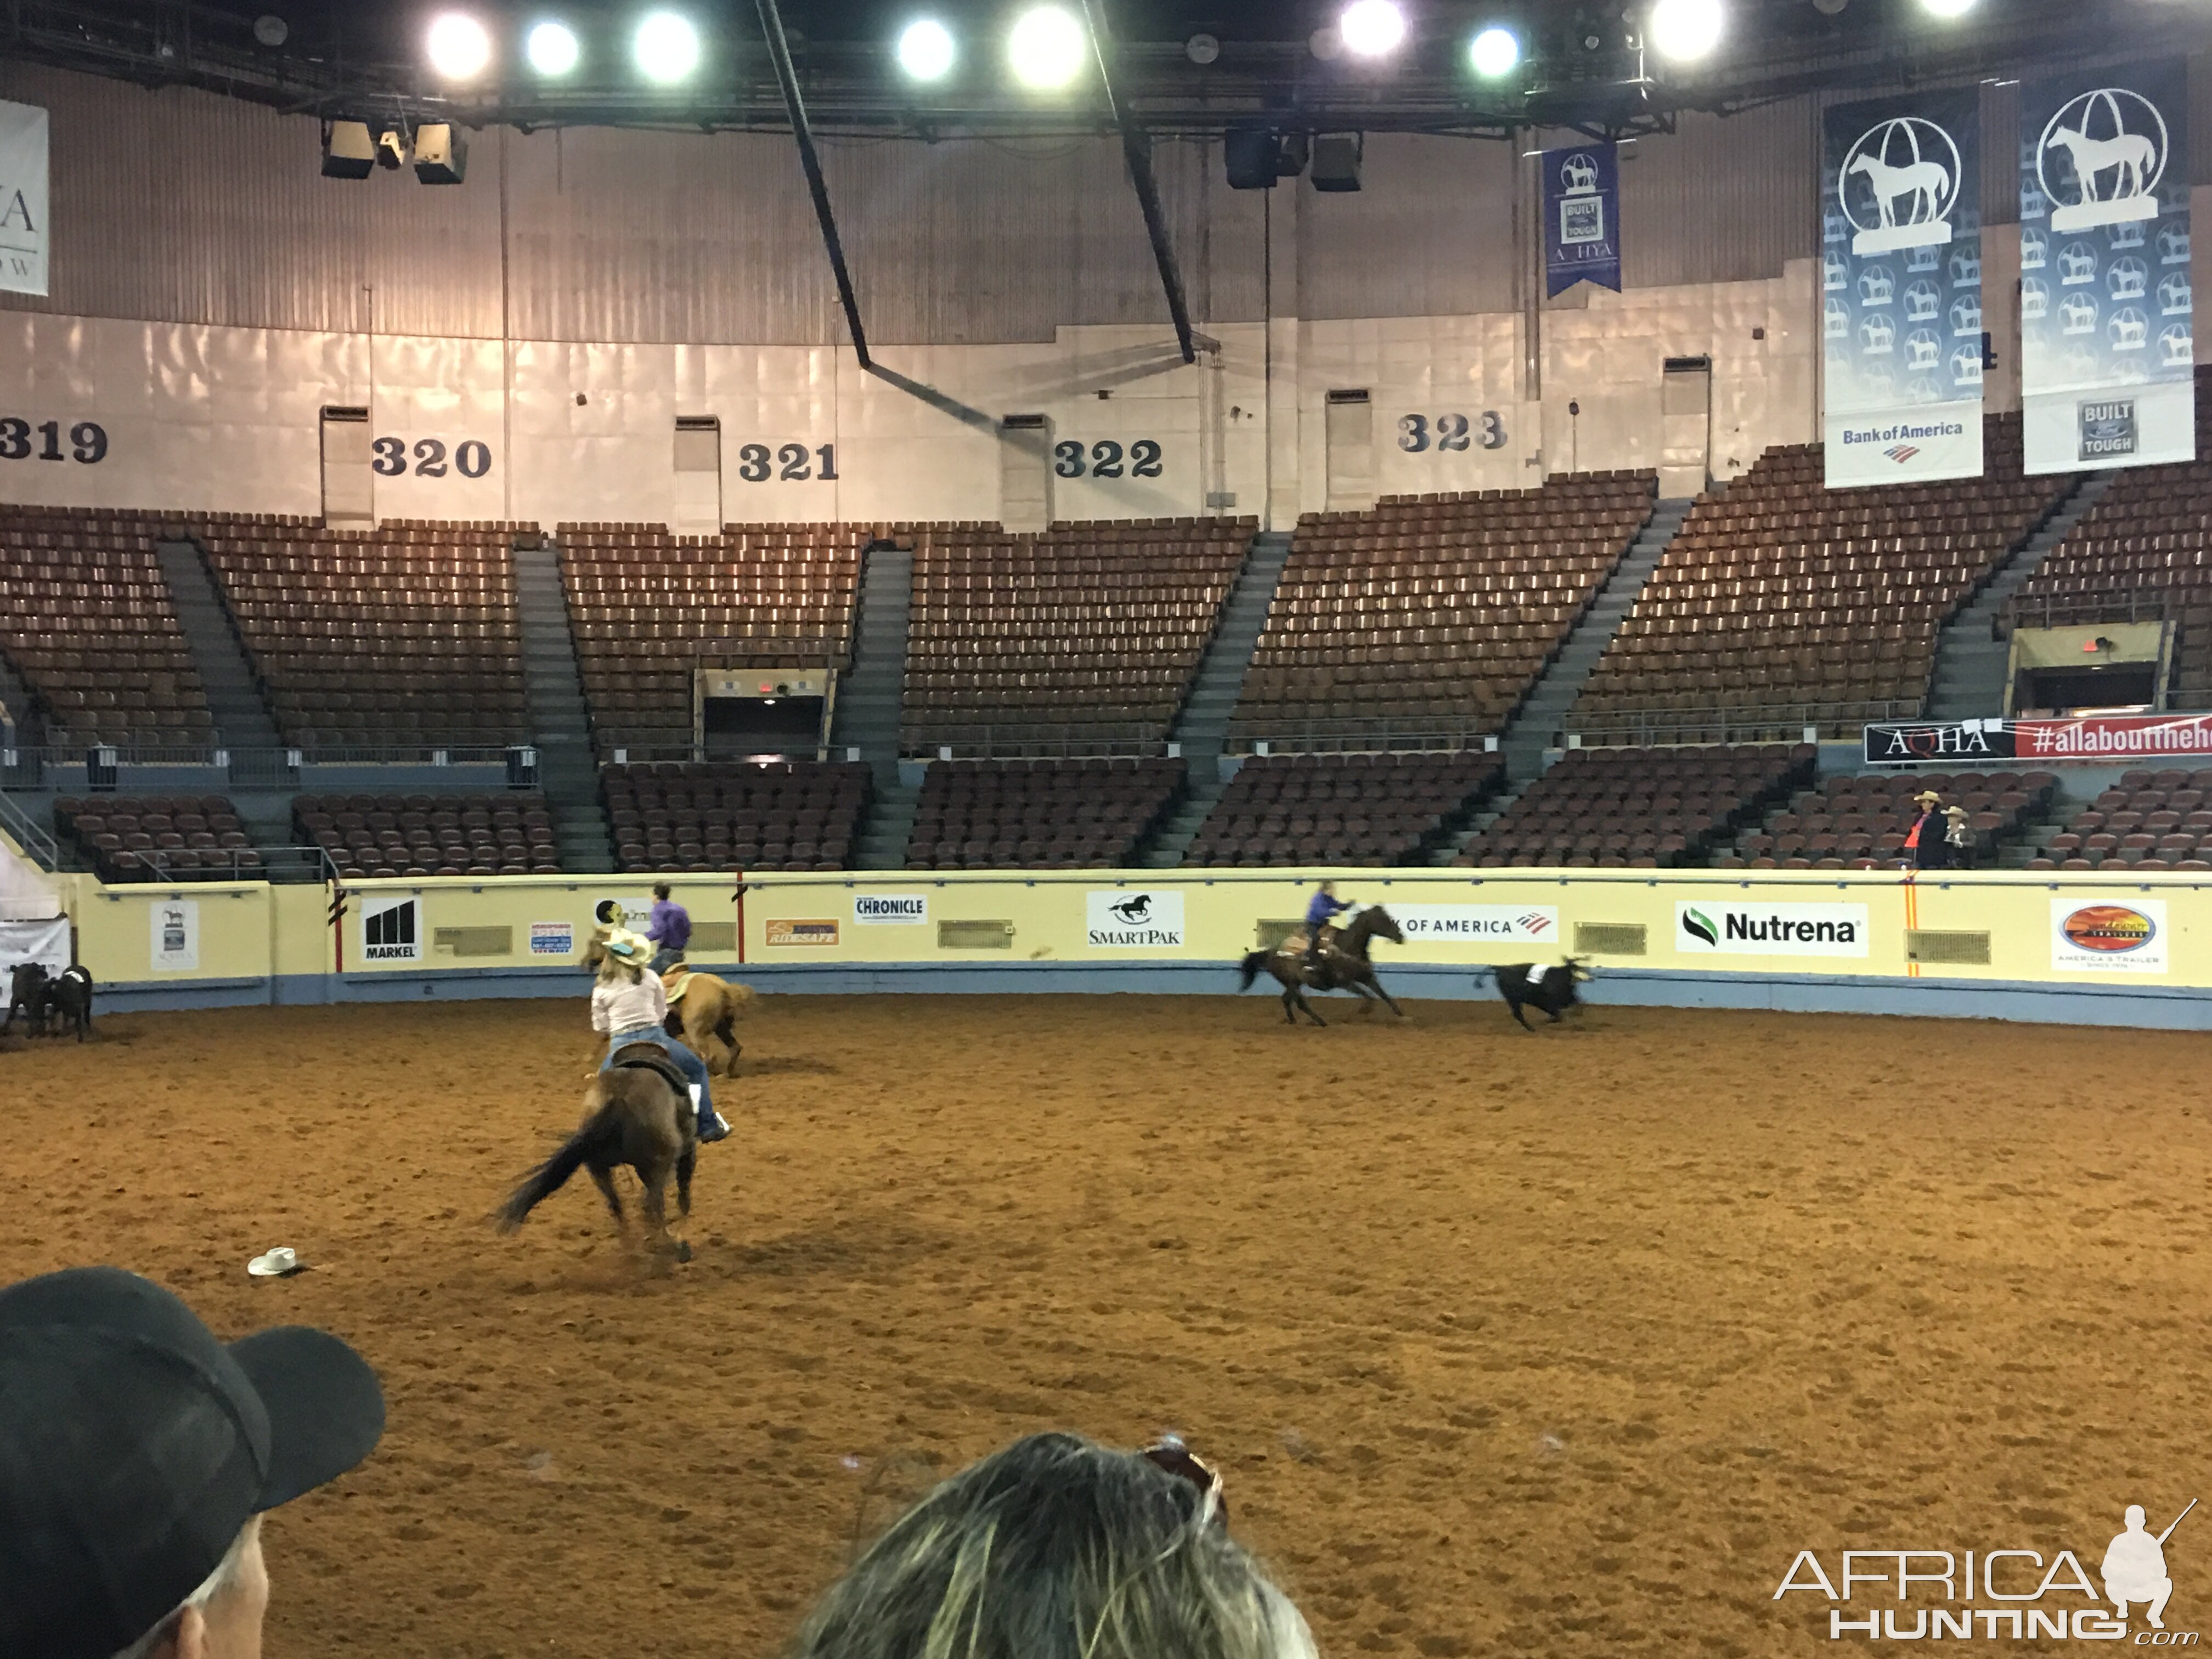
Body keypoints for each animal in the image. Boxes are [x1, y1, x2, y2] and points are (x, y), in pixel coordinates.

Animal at [498, 1044, 695, 1265]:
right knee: (655, 1205)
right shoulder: (687, 1152)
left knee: (617, 1205)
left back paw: (631, 1249)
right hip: (655, 1165)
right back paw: (669, 1246)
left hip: (597, 1167)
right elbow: (683, 1196)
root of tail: (617, 1095)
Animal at [1238, 902, 1407, 1035]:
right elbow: (1369, 996)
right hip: (1291, 981)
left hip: (1294, 983)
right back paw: (1321, 1022)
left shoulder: (1367, 977)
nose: (1400, 937)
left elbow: (1384, 995)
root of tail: (1270, 953)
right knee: (1300, 1003)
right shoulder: (1344, 983)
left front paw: (1402, 1015)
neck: (1347, 947)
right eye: (1383, 920)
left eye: (1389, 917)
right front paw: (1364, 1011)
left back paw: (1293, 1021)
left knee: (1286, 999)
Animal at [1486, 960, 1593, 1026]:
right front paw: (1549, 1020)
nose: (1590, 978)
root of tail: (1500, 969)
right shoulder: (1544, 1003)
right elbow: (1557, 1014)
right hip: (1513, 999)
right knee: (1518, 1014)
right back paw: (1532, 1029)